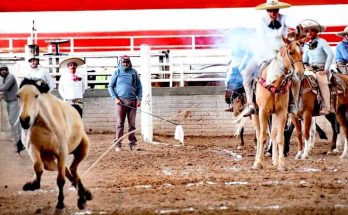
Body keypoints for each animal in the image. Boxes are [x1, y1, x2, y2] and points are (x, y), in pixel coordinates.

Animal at [17, 78, 92, 209]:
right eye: (18, 96)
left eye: (36, 95)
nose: (25, 120)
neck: (44, 126)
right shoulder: (34, 149)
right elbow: (37, 167)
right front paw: (33, 184)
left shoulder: (62, 152)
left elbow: (60, 180)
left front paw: (60, 202)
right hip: (50, 161)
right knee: (67, 170)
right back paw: (83, 195)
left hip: (83, 149)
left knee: (73, 170)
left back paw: (83, 196)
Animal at [250, 37, 304, 171]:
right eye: (290, 52)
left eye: (302, 52)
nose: (300, 73)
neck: (274, 84)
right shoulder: (263, 112)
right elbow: (263, 137)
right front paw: (258, 163)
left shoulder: (282, 112)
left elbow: (280, 138)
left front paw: (281, 164)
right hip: (255, 114)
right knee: (259, 134)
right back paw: (257, 159)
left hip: (274, 115)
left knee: (273, 134)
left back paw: (274, 159)